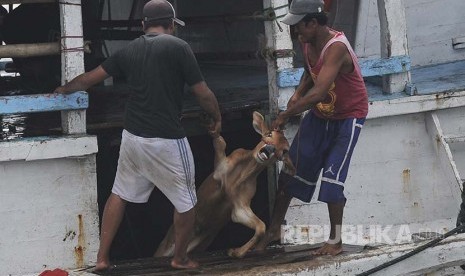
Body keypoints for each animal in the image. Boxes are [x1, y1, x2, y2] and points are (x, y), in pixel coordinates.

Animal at [155, 111, 294, 258]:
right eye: (269, 134)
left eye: (284, 150)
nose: (269, 148)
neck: (241, 175)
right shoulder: (220, 168)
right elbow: (220, 142)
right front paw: (210, 124)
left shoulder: (239, 206)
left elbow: (261, 226)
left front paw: (236, 252)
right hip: (167, 243)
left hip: (201, 243)